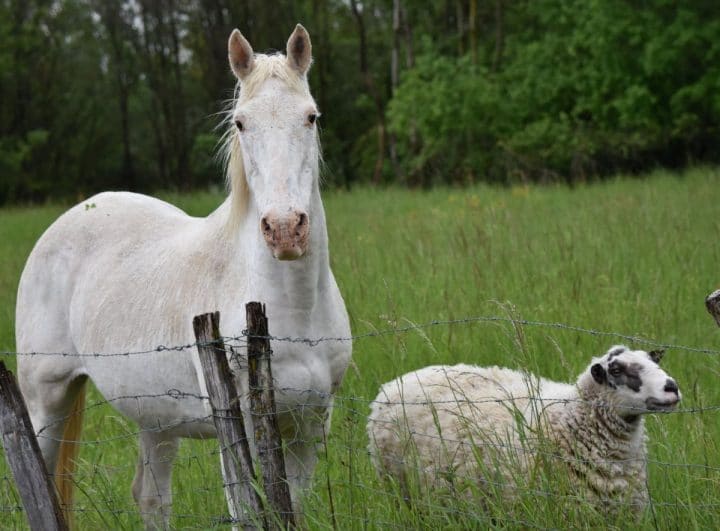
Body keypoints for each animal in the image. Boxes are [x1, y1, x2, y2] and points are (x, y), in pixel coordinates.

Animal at [15, 23, 350, 528]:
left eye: (310, 117)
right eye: (241, 123)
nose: (284, 229)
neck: (293, 309)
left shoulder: (309, 428)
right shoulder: (239, 428)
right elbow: (246, 514)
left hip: (156, 419)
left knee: (150, 497)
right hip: (45, 402)